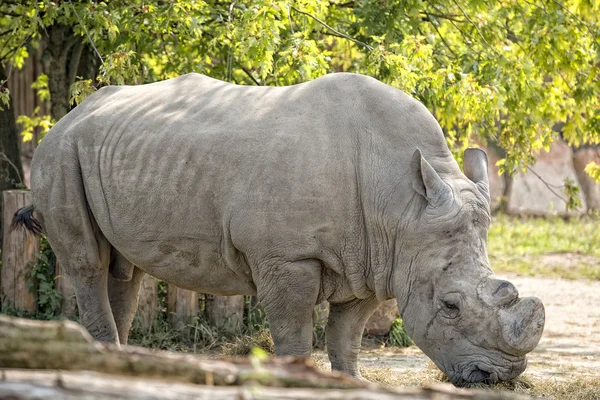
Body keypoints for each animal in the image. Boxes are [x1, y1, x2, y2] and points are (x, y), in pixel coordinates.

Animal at [17, 72, 544, 384]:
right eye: (450, 306)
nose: (501, 377)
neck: (401, 205)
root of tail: (69, 113)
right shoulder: (288, 257)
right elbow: (295, 332)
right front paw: (298, 377)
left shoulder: (377, 260)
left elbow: (347, 335)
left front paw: (351, 383)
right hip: (60, 152)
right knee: (87, 262)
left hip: (114, 151)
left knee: (125, 269)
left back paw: (122, 364)